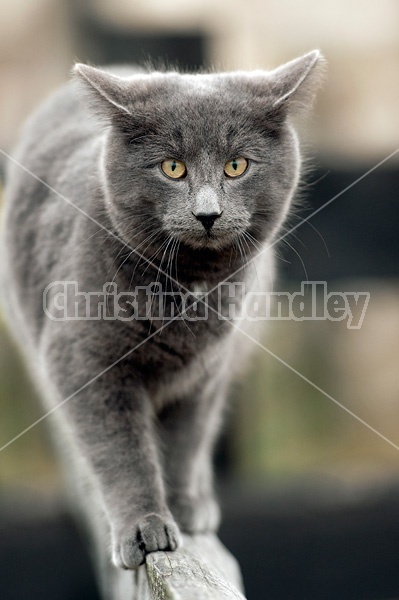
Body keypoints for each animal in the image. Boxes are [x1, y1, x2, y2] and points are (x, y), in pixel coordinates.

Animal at [0, 54, 324, 576]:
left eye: (237, 165)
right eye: (172, 167)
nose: (208, 213)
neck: (187, 291)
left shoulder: (206, 372)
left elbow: (186, 441)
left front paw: (184, 508)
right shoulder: (85, 362)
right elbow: (121, 451)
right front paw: (144, 526)